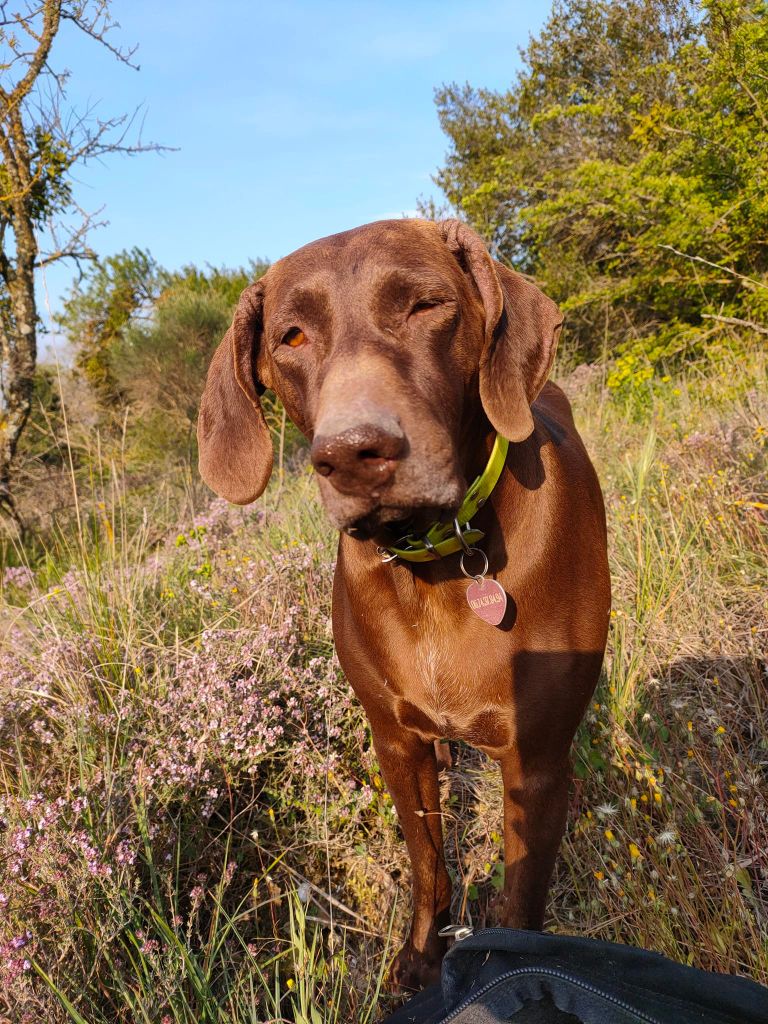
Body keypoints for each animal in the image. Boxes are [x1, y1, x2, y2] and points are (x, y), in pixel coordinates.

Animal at [198, 218, 614, 991]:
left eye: (425, 305)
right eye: (291, 336)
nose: (354, 453)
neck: (442, 558)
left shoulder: (537, 764)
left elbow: (522, 896)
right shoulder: (397, 744)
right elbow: (426, 862)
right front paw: (423, 956)